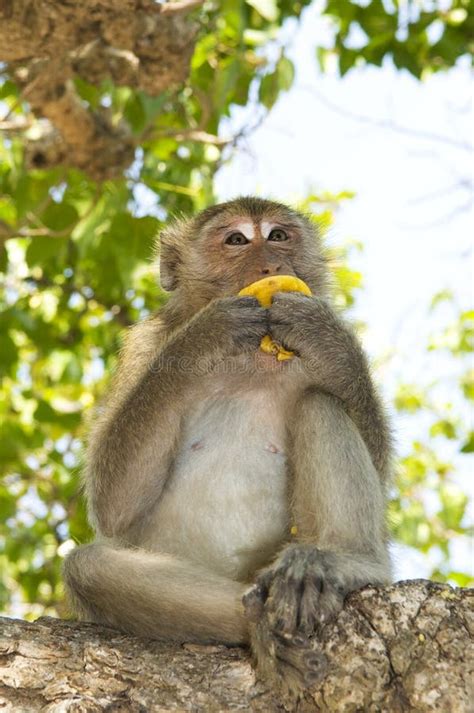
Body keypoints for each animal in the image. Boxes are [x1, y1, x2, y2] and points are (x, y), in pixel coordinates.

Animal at [63, 196, 392, 696]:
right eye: (237, 239)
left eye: (279, 235)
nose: (271, 263)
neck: (253, 357)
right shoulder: (148, 343)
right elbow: (114, 506)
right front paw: (208, 333)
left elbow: (378, 461)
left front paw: (324, 335)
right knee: (89, 568)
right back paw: (258, 623)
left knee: (320, 404)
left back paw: (340, 563)